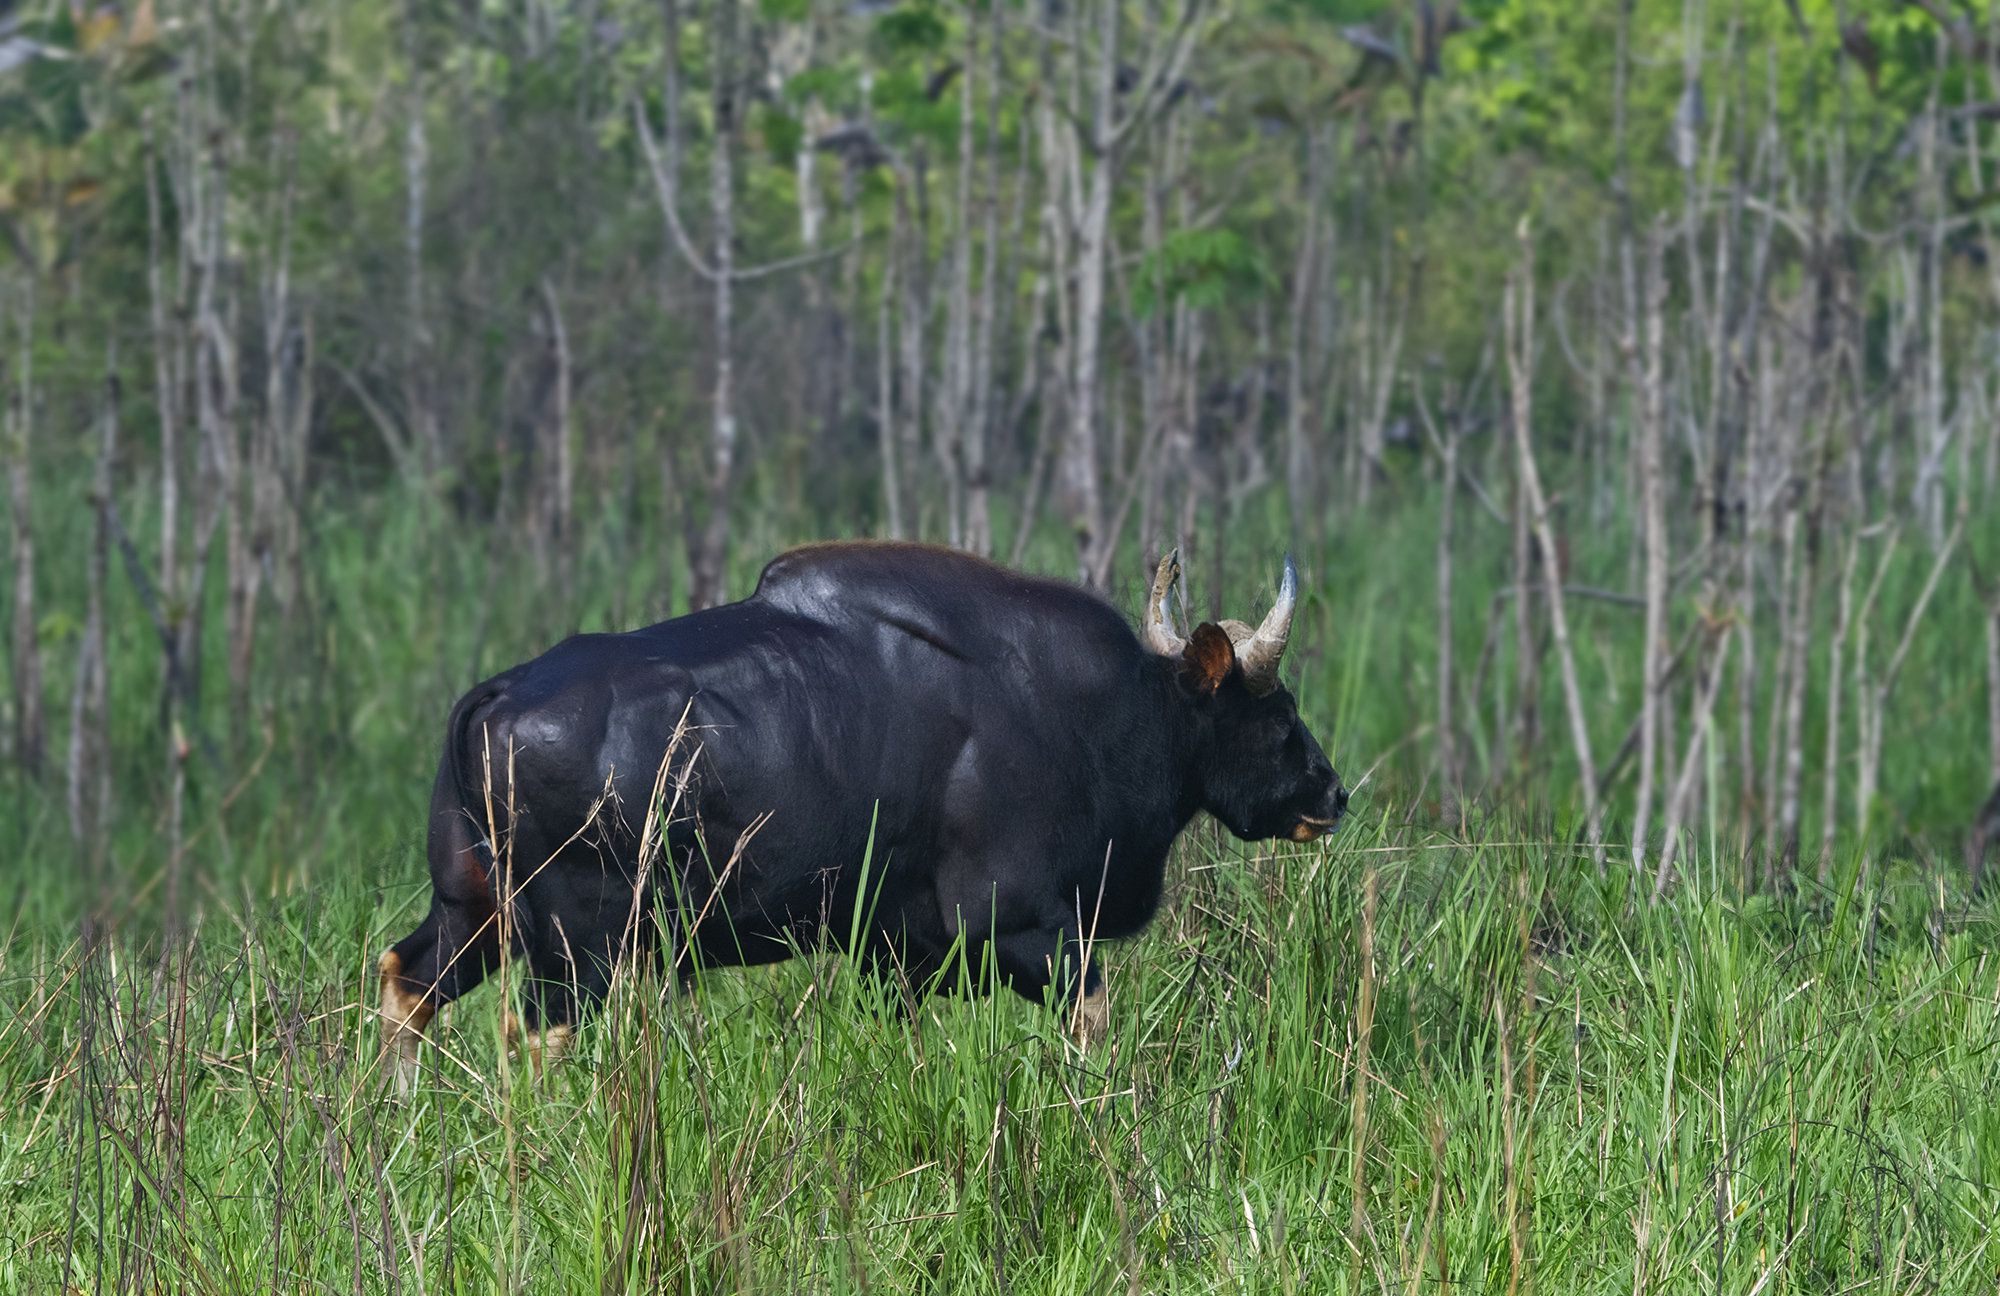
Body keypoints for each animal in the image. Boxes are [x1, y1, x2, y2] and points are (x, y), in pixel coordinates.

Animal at [379, 542, 1344, 1082]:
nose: (1332, 794)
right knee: (530, 1039)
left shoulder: (895, 951)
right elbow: (1093, 1025)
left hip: (473, 912)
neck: (1104, 715)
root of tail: (495, 698)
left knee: (405, 978)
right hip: (576, 948)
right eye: (1277, 715)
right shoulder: (1023, 924)